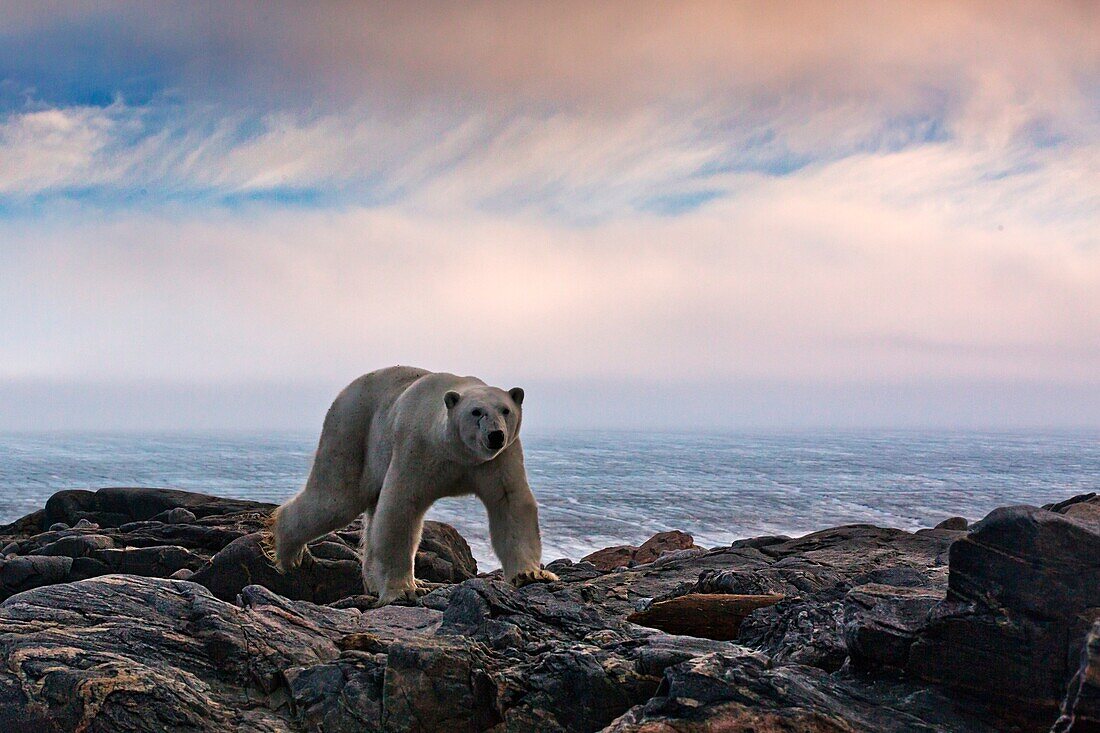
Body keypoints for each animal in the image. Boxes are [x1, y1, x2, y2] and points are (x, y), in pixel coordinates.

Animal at [267, 365, 558, 603]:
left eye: (506, 410)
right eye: (477, 412)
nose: (495, 435)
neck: (456, 453)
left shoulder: (497, 460)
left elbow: (510, 502)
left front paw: (530, 575)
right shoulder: (419, 448)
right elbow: (400, 506)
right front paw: (403, 590)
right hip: (352, 429)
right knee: (336, 499)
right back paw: (288, 553)